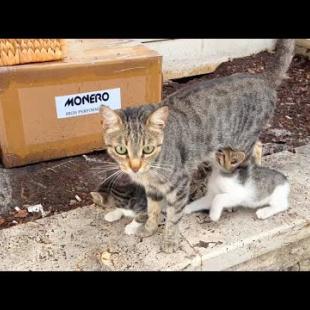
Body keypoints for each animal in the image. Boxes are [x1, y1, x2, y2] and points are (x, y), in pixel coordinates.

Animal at [100, 39, 296, 252]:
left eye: (148, 149)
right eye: (121, 149)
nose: (134, 167)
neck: (149, 172)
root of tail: (262, 78)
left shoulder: (179, 184)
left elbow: (173, 217)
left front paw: (170, 241)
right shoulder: (151, 188)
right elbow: (152, 209)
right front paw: (149, 229)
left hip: (241, 142)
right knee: (259, 146)